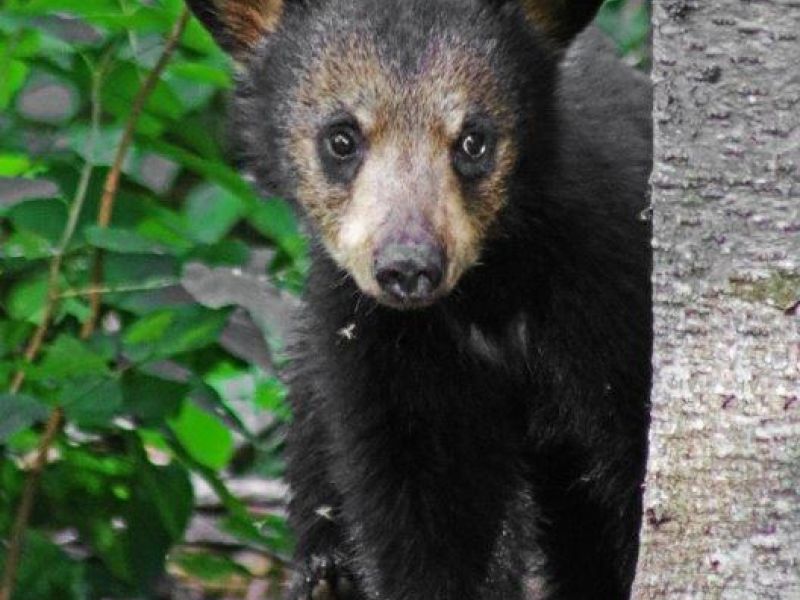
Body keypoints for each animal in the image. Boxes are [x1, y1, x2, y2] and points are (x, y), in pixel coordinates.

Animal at [183, 1, 653, 599]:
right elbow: (423, 510)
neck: (491, 293)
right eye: (341, 138)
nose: (408, 266)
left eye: (474, 140)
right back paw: (328, 574)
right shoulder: (384, 347)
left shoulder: (610, 288)